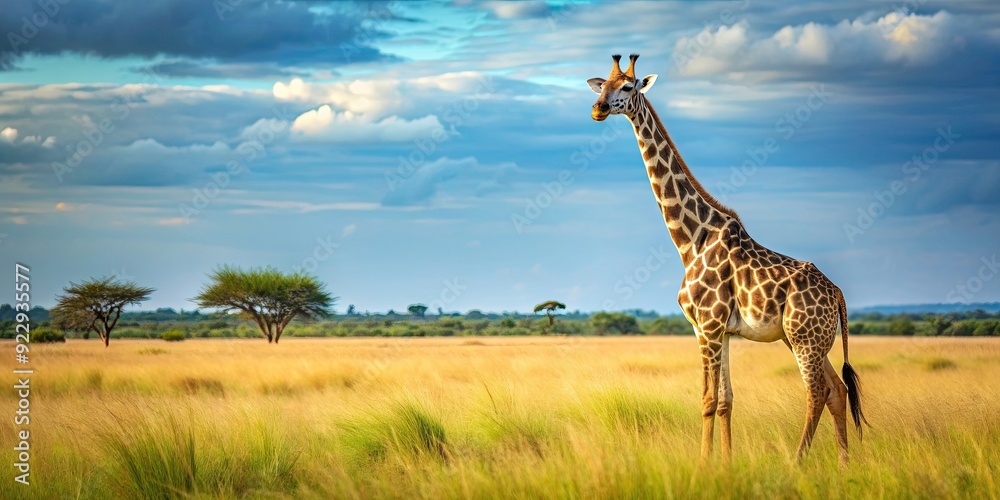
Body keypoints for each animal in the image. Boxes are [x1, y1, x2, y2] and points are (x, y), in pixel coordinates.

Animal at [588, 54, 868, 465]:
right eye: (602, 86)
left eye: (627, 86)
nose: (598, 109)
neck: (691, 241)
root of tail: (838, 294)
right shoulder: (719, 331)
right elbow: (725, 401)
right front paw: (726, 462)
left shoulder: (707, 326)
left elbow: (707, 400)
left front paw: (703, 465)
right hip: (806, 339)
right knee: (837, 389)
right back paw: (844, 464)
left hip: (804, 338)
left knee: (817, 391)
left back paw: (797, 461)